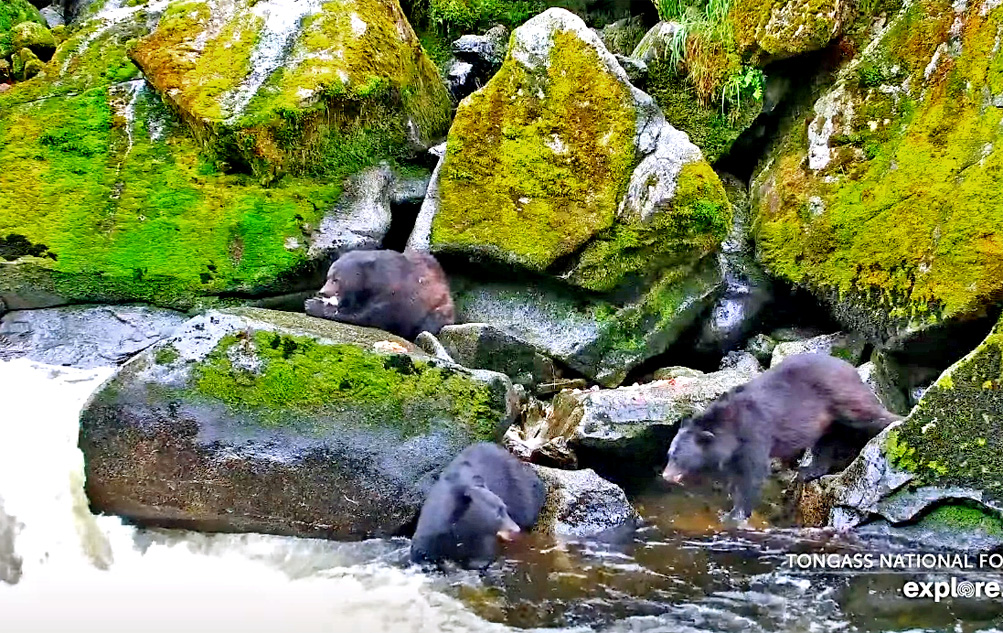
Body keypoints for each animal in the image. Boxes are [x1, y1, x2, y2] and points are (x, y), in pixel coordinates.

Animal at [298, 249, 453, 345]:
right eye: (328, 276)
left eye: (336, 279)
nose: (323, 292)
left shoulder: (395, 294)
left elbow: (368, 314)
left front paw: (313, 305)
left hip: (438, 308)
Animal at [409, 441, 549, 569]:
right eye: (498, 513)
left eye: (504, 508)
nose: (515, 529)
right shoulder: (430, 534)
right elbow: (421, 553)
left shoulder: (480, 539)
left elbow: (481, 558)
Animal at [657, 355, 902, 521]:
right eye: (669, 454)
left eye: (678, 457)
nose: (666, 475)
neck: (729, 431)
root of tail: (850, 366)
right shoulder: (733, 454)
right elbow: (735, 477)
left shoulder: (754, 435)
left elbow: (752, 475)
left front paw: (735, 514)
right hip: (827, 421)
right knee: (824, 443)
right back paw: (808, 471)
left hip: (842, 398)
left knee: (866, 413)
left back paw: (897, 420)